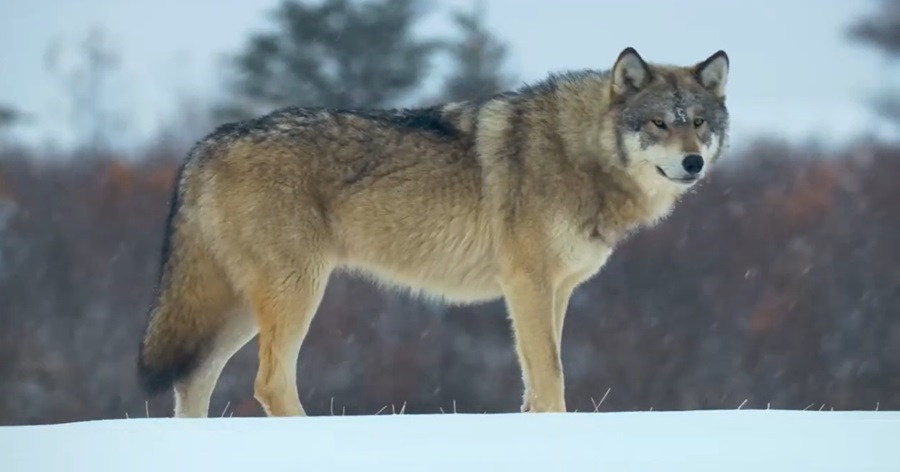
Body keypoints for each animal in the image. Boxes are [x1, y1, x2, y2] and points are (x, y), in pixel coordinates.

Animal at [137, 48, 728, 416]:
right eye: (659, 124)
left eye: (699, 123)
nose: (694, 163)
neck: (577, 151)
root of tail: (207, 143)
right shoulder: (527, 284)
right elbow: (551, 374)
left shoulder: (558, 290)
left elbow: (535, 381)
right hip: (295, 292)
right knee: (269, 383)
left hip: (242, 306)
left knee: (193, 379)